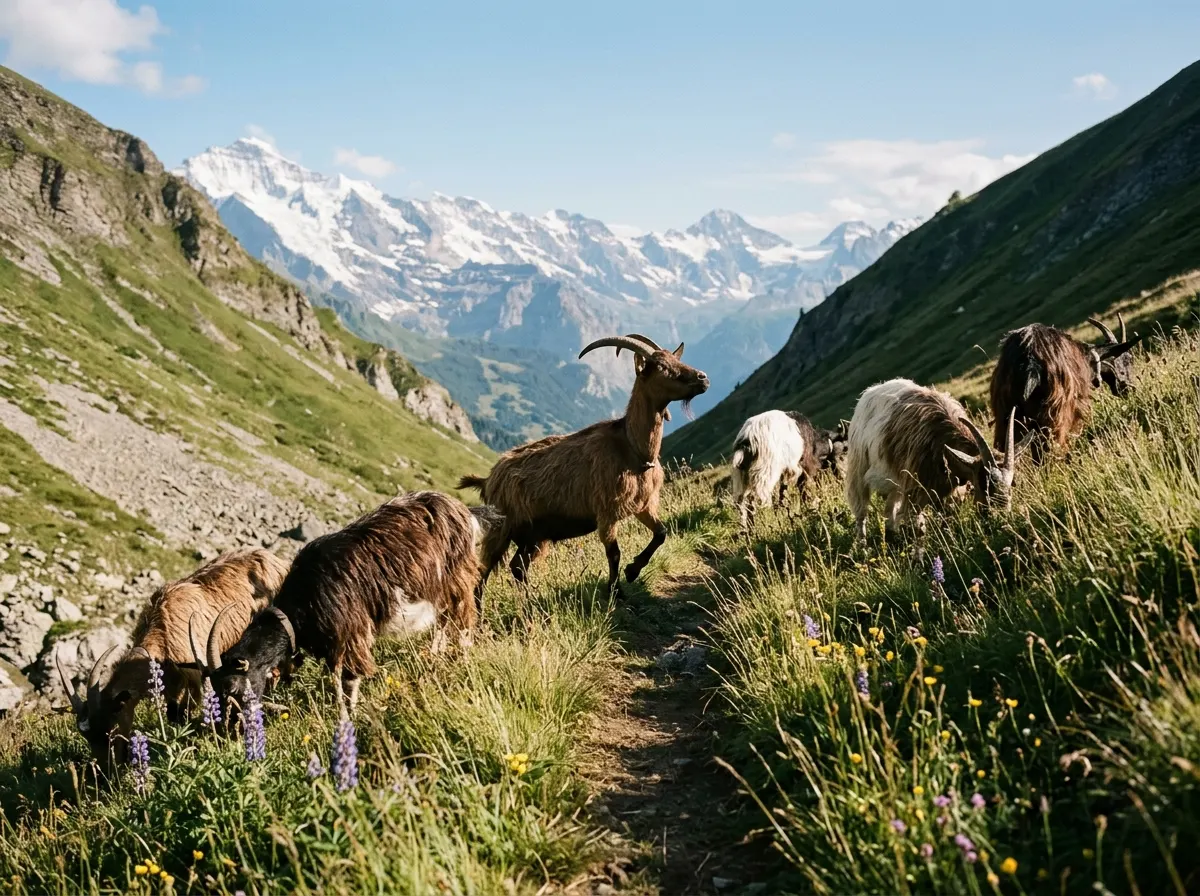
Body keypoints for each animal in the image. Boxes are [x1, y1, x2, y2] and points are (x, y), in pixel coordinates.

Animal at [55, 548, 286, 766]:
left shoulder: (195, 677)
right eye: (88, 738)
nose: (107, 771)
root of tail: (274, 559)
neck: (162, 629)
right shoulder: (171, 685)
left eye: (110, 730)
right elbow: (174, 715)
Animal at [204, 491, 482, 712]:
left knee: (463, 617)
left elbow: (349, 679)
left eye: (231, 687)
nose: (230, 729)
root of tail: (462, 510)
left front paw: (348, 715)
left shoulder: (350, 633)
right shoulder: (333, 645)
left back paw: (463, 656)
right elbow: (335, 678)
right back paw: (435, 655)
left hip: (458, 576)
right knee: (444, 619)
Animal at [458, 333, 709, 600]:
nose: (702, 378)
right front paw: (616, 591)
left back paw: (530, 600)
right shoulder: (606, 513)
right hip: (503, 529)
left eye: (676, 358)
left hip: (535, 535)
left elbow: (661, 533)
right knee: (484, 571)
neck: (633, 450)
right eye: (661, 366)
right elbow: (614, 553)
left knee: (518, 566)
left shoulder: (643, 506)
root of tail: (489, 479)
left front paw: (632, 571)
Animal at [845, 378, 1026, 538]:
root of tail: (870, 392)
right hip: (858, 470)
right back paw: (863, 544)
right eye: (984, 486)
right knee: (861, 509)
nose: (1001, 517)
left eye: (1011, 486)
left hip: (895, 484)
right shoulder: (915, 489)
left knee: (889, 511)